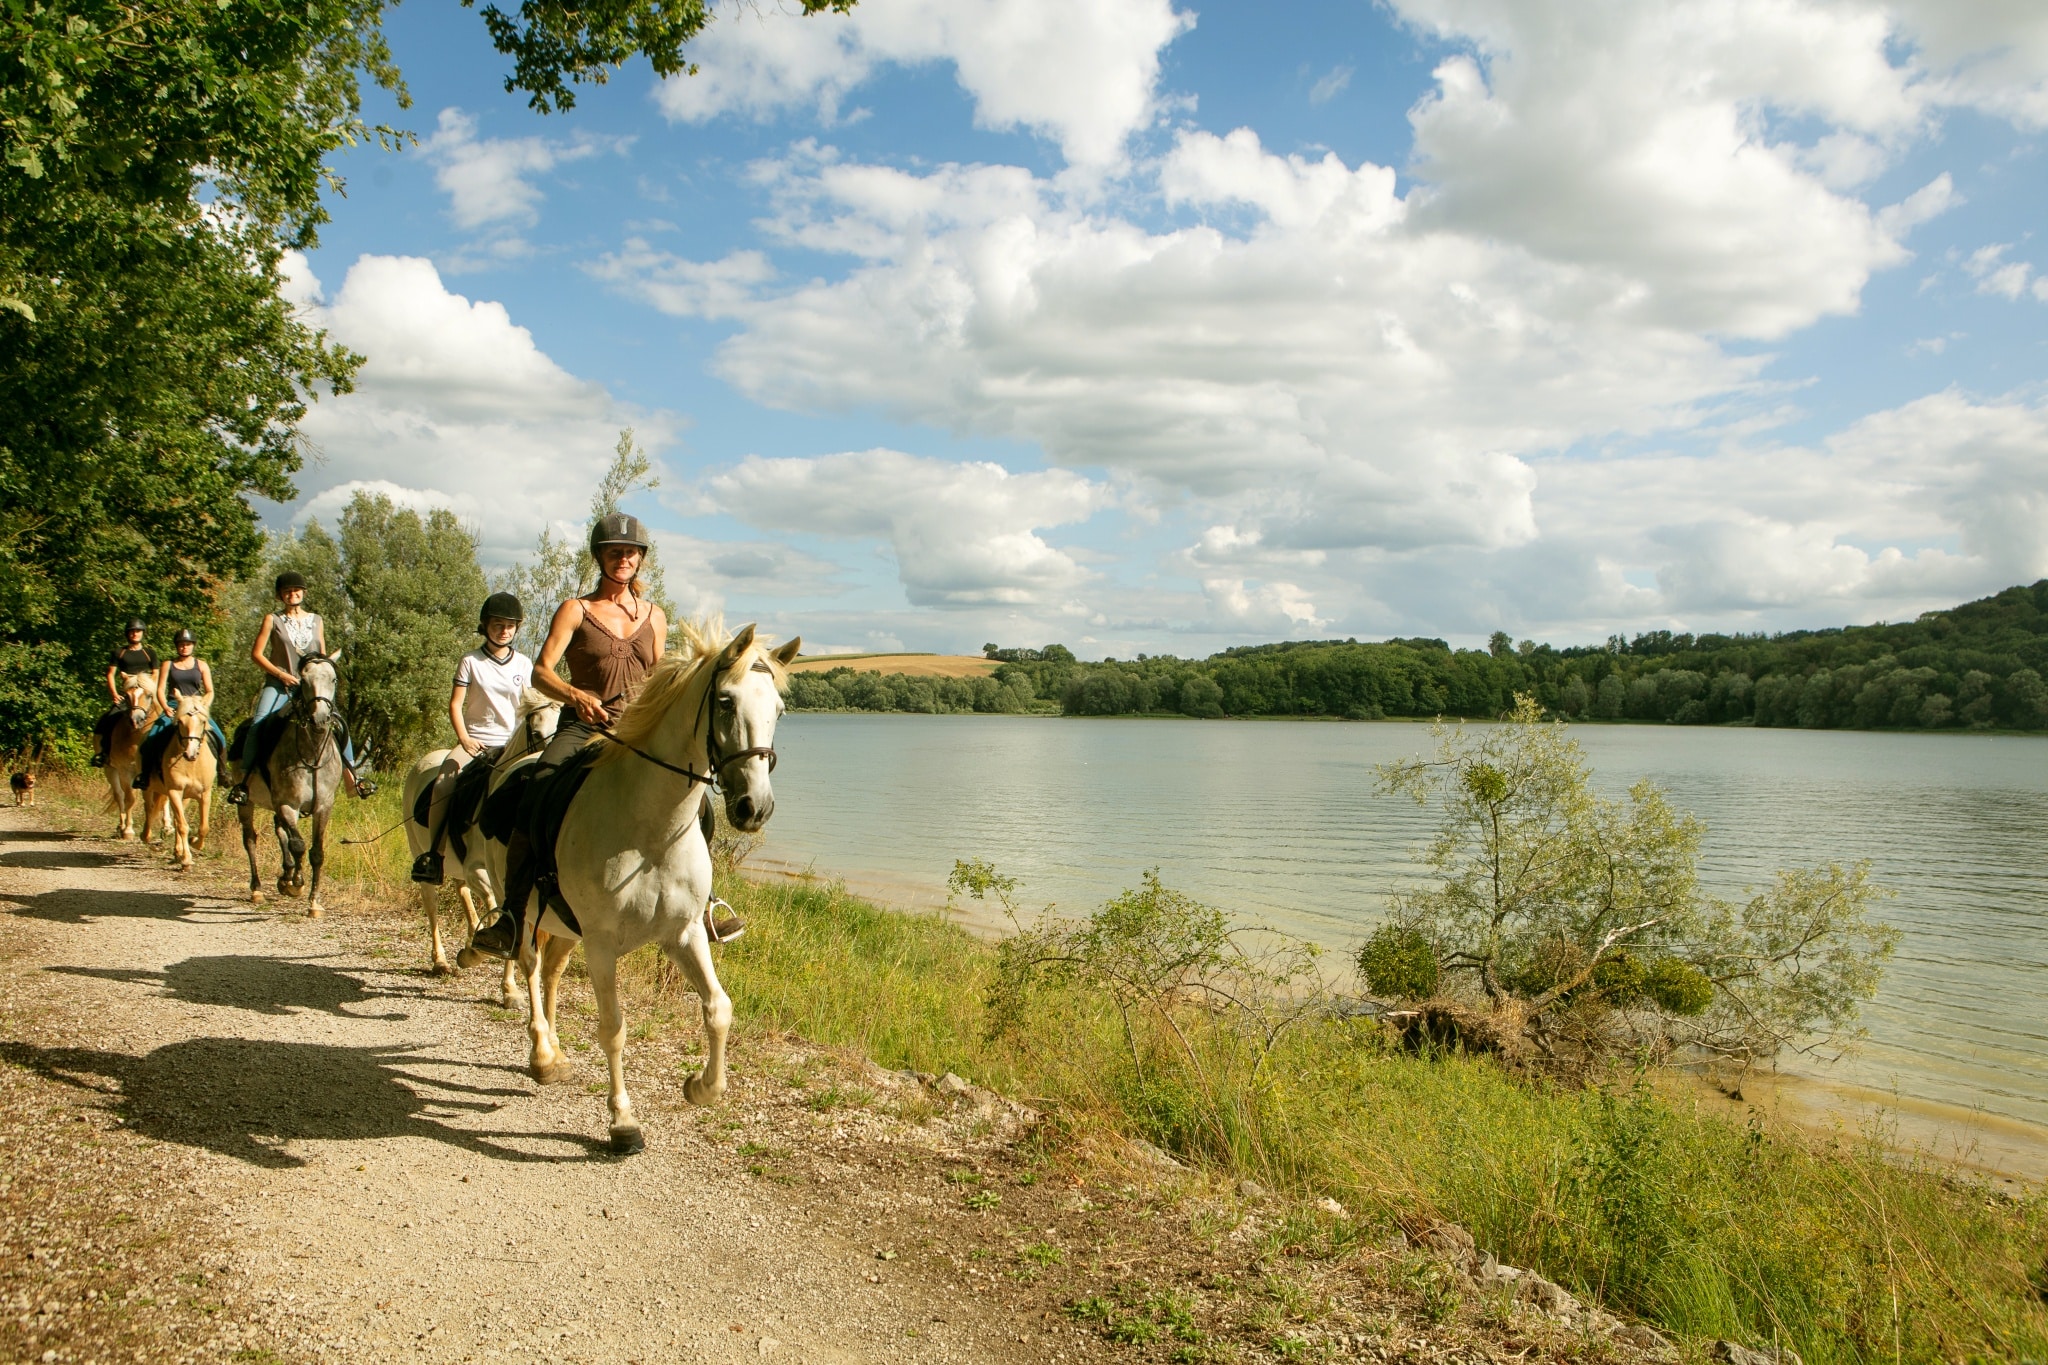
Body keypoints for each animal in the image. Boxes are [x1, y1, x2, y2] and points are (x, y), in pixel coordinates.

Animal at [142, 699, 216, 871]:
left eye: (202, 721)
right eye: (181, 722)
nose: (190, 753)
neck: (192, 765)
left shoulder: (204, 794)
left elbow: (204, 827)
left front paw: (193, 843)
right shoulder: (174, 791)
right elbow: (183, 825)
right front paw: (187, 860)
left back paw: (177, 851)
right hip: (149, 787)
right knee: (149, 808)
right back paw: (146, 836)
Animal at [397, 687, 561, 998]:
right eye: (535, 731)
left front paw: (509, 989)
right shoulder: (478, 869)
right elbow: (495, 906)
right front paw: (475, 955)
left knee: (461, 891)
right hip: (420, 853)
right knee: (431, 905)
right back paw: (441, 961)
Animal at [516, 626, 794, 1162]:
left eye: (779, 709)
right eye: (725, 702)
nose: (755, 808)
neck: (651, 828)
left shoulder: (684, 933)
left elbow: (719, 1009)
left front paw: (700, 1088)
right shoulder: (602, 945)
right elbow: (613, 1029)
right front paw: (623, 1122)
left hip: (564, 925)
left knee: (551, 971)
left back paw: (555, 1054)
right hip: (521, 912)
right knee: (529, 965)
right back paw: (541, 1054)